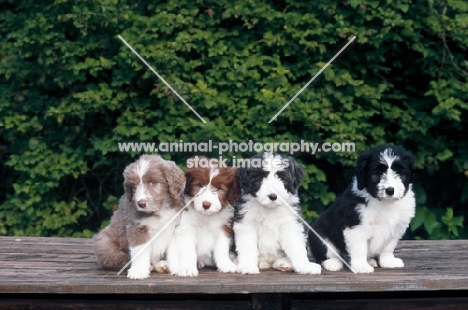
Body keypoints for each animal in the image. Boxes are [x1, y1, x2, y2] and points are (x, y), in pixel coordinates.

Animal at [308, 144, 414, 272]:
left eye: (399, 172)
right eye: (377, 173)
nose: (390, 190)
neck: (385, 203)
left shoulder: (396, 228)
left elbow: (388, 247)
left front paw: (388, 261)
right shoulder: (356, 225)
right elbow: (359, 248)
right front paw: (361, 266)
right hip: (319, 233)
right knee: (327, 252)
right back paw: (333, 263)